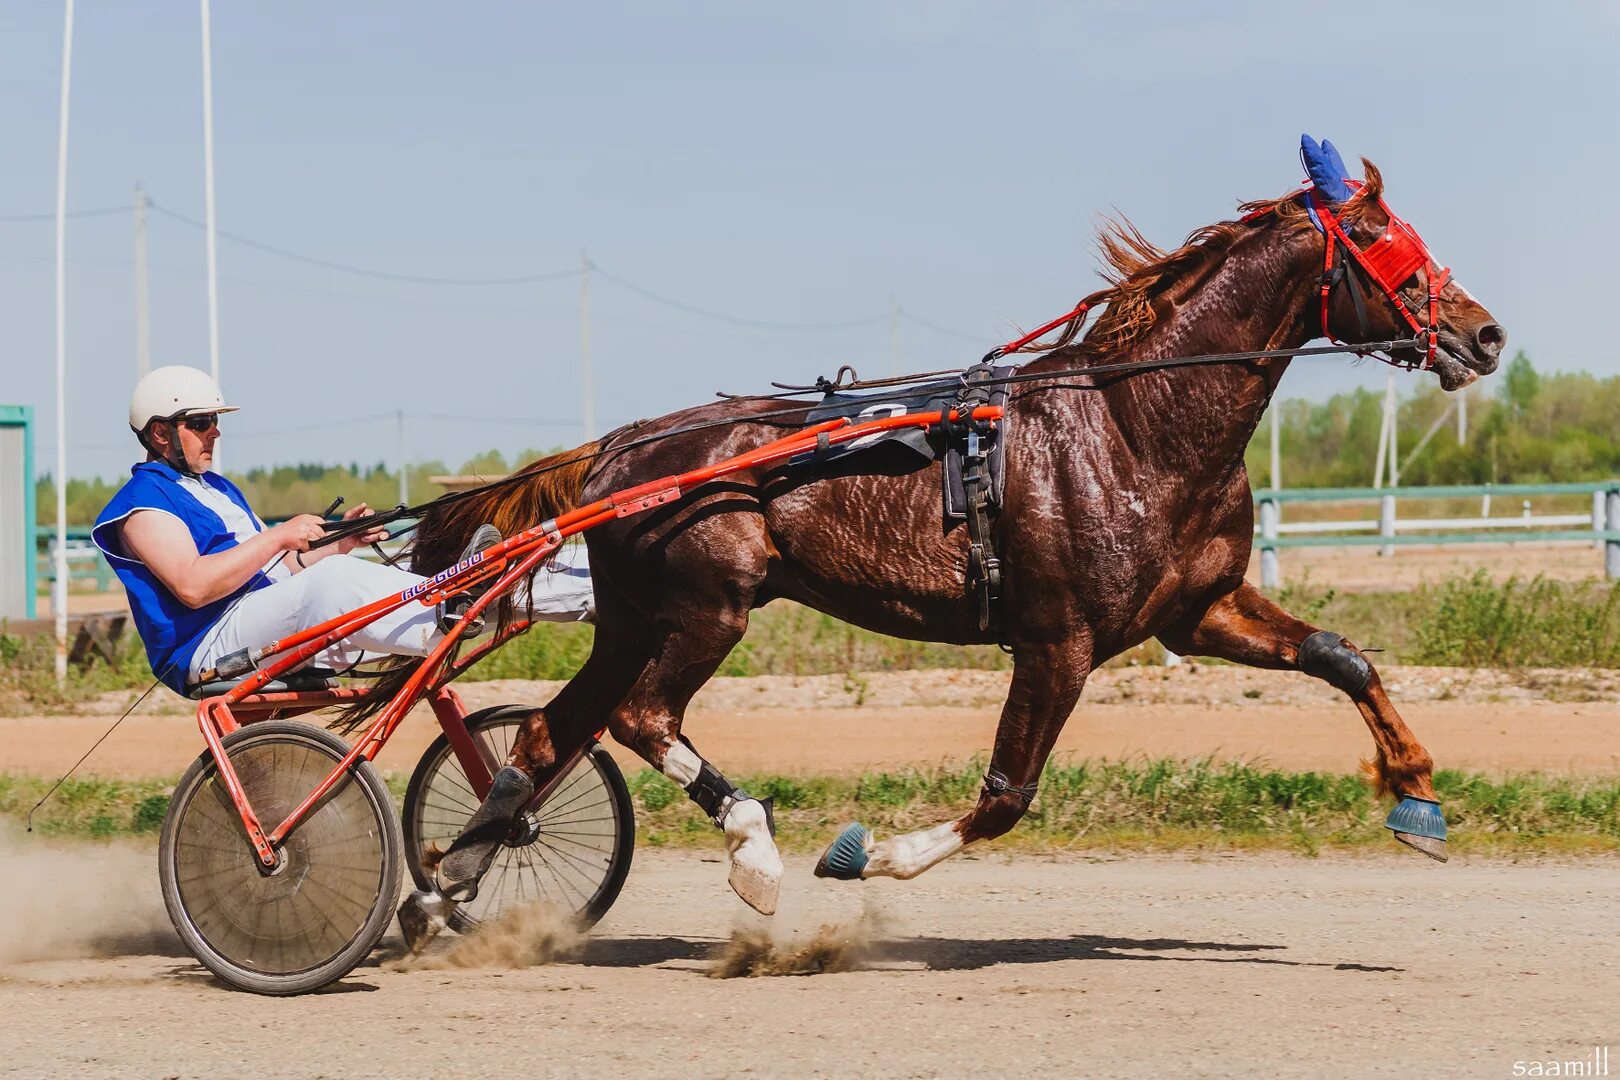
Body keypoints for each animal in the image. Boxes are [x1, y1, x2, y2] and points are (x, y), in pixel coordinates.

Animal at [392, 132, 1503, 932]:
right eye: (1384, 243)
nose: (1484, 332)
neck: (1134, 426)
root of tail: (618, 448)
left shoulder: (1200, 609)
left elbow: (1345, 658)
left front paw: (1418, 798)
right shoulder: (1057, 641)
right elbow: (1009, 794)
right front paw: (872, 853)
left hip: (630, 617)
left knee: (553, 730)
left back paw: (448, 879)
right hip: (712, 604)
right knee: (642, 717)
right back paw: (753, 850)